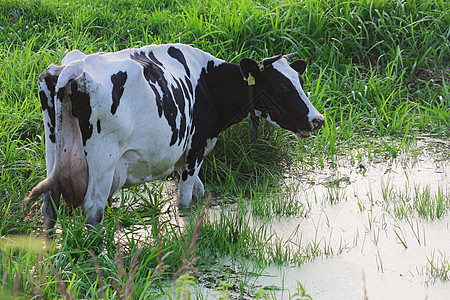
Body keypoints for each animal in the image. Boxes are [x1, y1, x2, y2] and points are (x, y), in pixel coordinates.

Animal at [26, 43, 324, 232]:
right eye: (282, 86)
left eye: (300, 80)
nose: (318, 120)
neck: (208, 84)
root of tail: (74, 68)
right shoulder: (195, 149)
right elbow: (185, 201)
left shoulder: (185, 154)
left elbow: (200, 192)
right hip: (103, 164)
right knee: (92, 211)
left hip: (53, 151)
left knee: (49, 207)